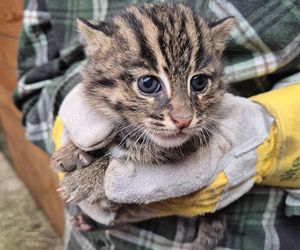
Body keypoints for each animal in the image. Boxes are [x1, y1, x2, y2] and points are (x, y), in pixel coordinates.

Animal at [51, 2, 234, 249]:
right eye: (147, 83)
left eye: (199, 82)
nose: (183, 119)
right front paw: (73, 151)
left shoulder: (189, 141)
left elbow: (137, 148)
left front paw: (87, 177)